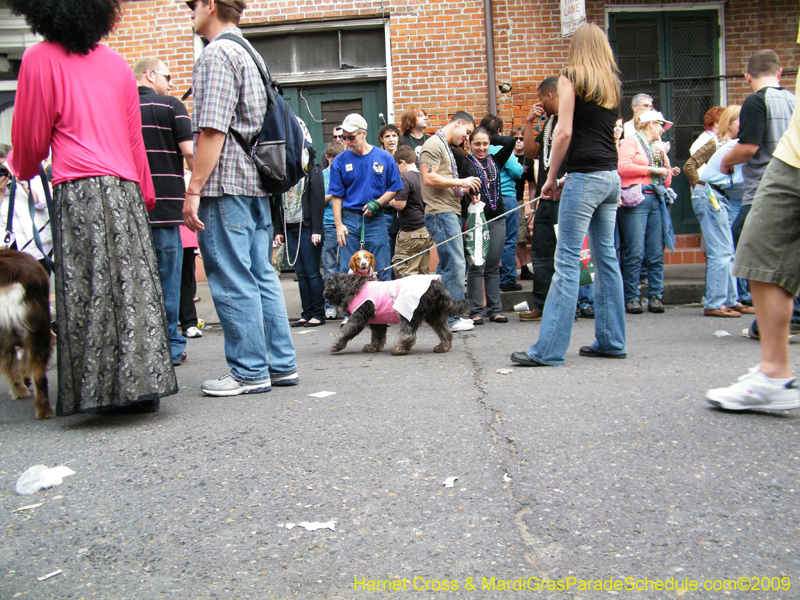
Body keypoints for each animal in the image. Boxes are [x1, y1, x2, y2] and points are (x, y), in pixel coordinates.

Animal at [320, 274, 466, 354]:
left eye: (326, 284)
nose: (324, 293)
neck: (351, 286)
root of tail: (435, 285)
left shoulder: (358, 317)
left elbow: (346, 331)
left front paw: (337, 344)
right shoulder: (377, 322)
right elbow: (377, 336)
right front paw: (373, 347)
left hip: (408, 311)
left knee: (408, 334)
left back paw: (400, 349)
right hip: (435, 315)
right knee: (445, 331)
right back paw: (443, 346)